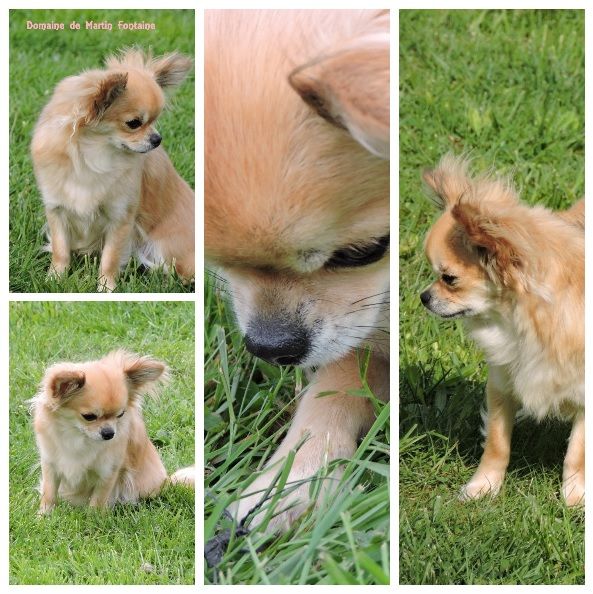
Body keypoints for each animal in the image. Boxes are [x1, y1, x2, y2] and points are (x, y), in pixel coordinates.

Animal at [31, 49, 194, 290]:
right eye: (134, 123)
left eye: (155, 120)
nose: (157, 139)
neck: (94, 157)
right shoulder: (57, 209)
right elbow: (61, 250)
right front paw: (54, 279)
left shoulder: (120, 218)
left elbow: (110, 257)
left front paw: (106, 288)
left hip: (168, 250)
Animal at [420, 154, 584, 504]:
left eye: (449, 279)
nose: (423, 297)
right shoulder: (501, 382)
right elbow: (497, 443)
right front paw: (484, 487)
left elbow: (578, 452)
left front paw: (575, 495)